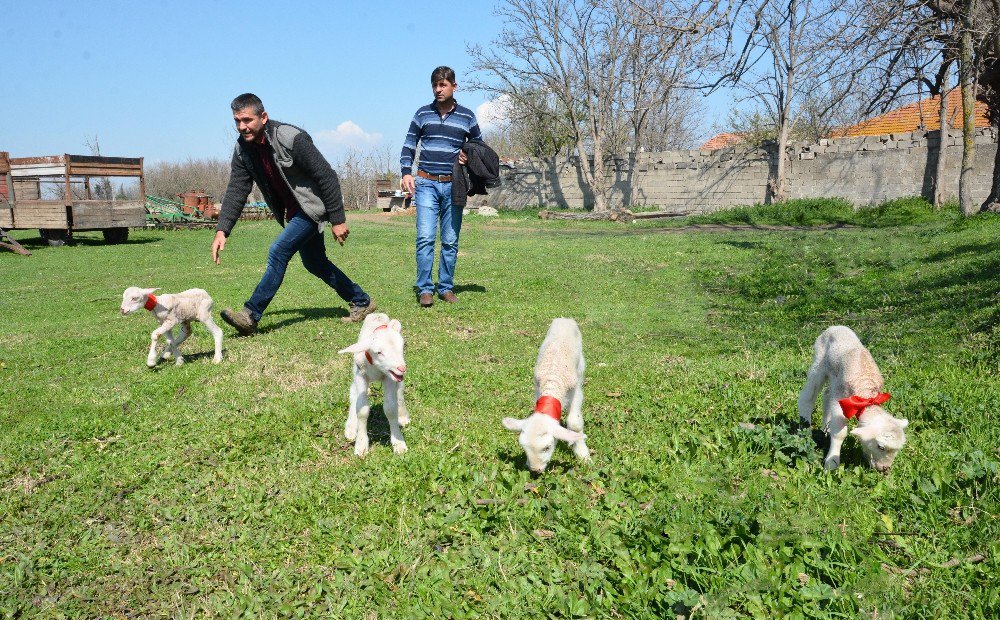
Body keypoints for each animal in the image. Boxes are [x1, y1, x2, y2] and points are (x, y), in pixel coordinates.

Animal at [340, 314, 410, 456]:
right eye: (379, 352)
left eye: (402, 346)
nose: (402, 368)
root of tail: (377, 315)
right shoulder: (360, 375)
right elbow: (361, 410)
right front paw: (361, 444)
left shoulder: (390, 378)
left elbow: (390, 408)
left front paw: (398, 442)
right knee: (353, 394)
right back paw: (351, 427)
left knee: (400, 393)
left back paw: (403, 417)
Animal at [504, 318, 588, 472]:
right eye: (524, 448)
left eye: (547, 447)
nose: (535, 470)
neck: (553, 380)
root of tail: (565, 318)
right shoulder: (538, 388)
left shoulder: (576, 390)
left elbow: (575, 423)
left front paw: (583, 454)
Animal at [796, 326, 908, 472]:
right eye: (880, 447)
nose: (884, 469)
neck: (865, 392)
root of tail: (836, 326)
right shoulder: (840, 397)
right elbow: (840, 433)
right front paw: (832, 463)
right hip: (819, 364)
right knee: (807, 397)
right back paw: (805, 432)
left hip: (834, 379)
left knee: (826, 395)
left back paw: (825, 429)